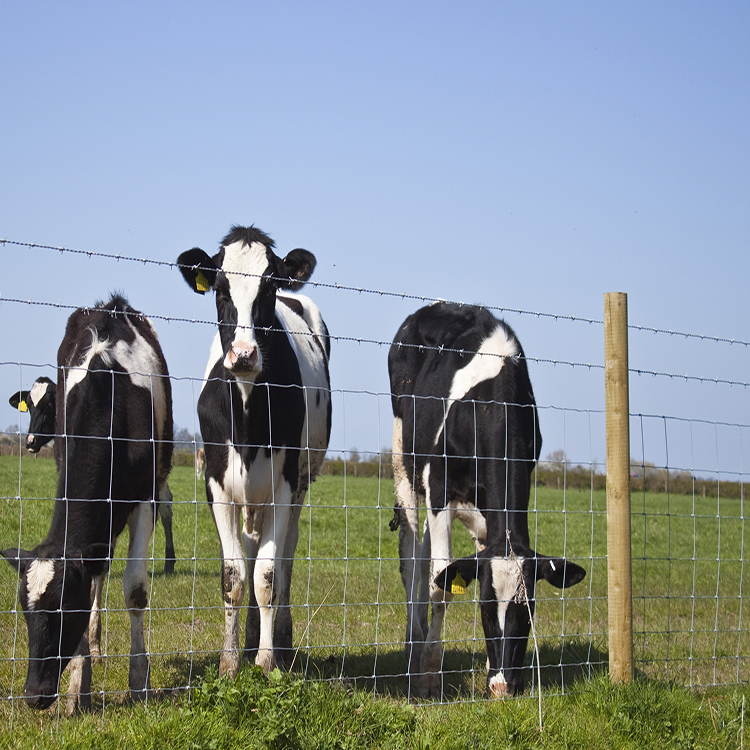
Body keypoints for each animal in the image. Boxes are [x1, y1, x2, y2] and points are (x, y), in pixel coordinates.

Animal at [1, 296, 173, 716]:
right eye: (25, 613)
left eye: (64, 609)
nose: (34, 694)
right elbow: (92, 581)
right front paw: (79, 683)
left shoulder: (144, 496)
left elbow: (135, 590)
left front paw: (139, 682)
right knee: (99, 572)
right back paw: (93, 650)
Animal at [179, 226, 332, 680]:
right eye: (220, 289)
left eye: (269, 288)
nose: (244, 354)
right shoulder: (216, 485)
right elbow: (234, 574)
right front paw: (230, 661)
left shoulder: (284, 484)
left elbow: (267, 574)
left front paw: (266, 661)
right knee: (250, 550)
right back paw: (248, 638)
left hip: (300, 484)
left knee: (284, 557)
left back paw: (279, 639)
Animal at [388, 302, 588, 704]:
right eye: (483, 608)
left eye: (527, 612)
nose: (503, 686)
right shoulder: (439, 487)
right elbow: (440, 586)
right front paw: (428, 677)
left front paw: (487, 668)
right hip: (405, 462)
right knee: (413, 560)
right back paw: (414, 645)